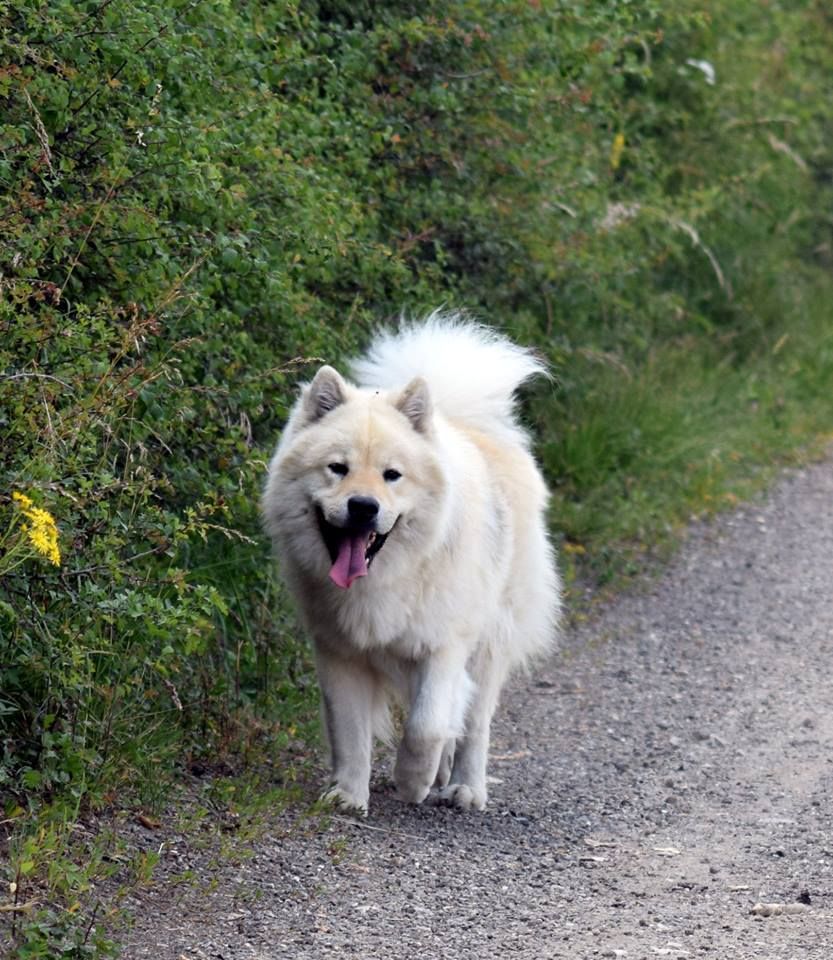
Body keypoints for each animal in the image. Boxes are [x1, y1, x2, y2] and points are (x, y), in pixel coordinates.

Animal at [261, 313, 560, 813]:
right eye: (337, 468)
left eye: (392, 475)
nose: (363, 507)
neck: (388, 575)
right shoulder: (340, 653)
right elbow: (350, 732)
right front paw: (348, 796)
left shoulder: (444, 647)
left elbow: (426, 725)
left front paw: (412, 781)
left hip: (490, 642)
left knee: (474, 723)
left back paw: (464, 788)